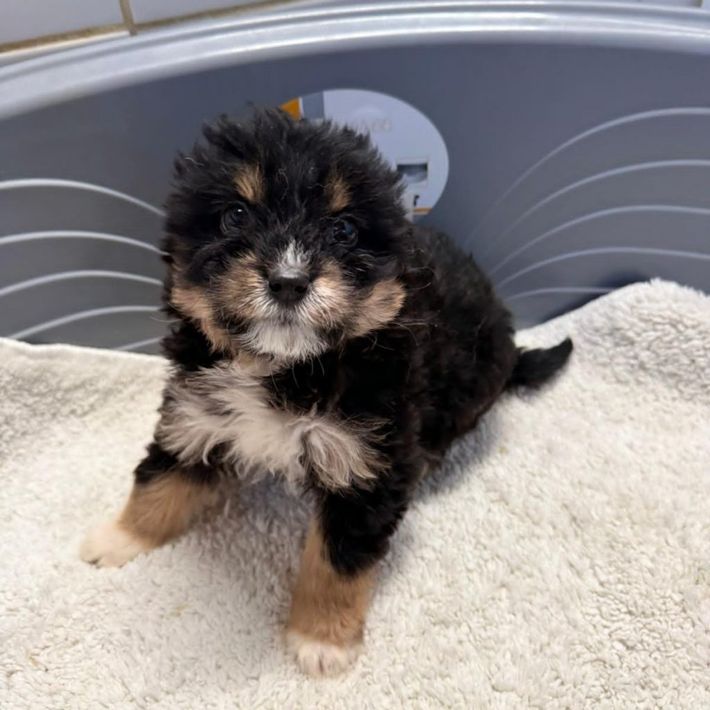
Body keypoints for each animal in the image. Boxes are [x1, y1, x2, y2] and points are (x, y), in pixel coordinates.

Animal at [80, 108, 572, 676]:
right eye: (235, 217)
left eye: (344, 229)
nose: (289, 281)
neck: (286, 367)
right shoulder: (197, 413)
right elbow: (161, 478)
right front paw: (118, 538)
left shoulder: (366, 465)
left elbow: (338, 561)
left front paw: (322, 640)